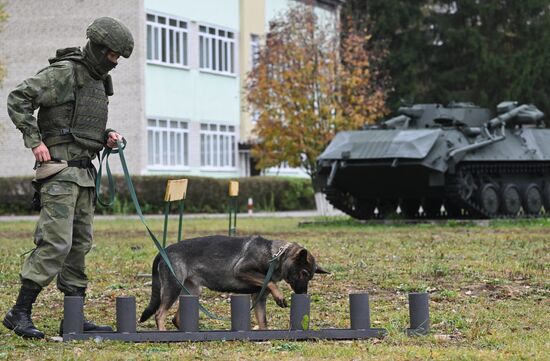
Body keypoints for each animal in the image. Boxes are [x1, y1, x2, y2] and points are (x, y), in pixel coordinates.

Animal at [140, 233, 328, 330]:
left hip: (192, 292)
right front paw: (279, 296)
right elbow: (271, 282)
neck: (274, 255)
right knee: (160, 314)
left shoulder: (259, 298)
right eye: (303, 273)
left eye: (310, 276)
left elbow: (263, 321)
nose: (303, 294)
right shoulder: (241, 270)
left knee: (175, 318)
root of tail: (164, 251)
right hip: (173, 287)